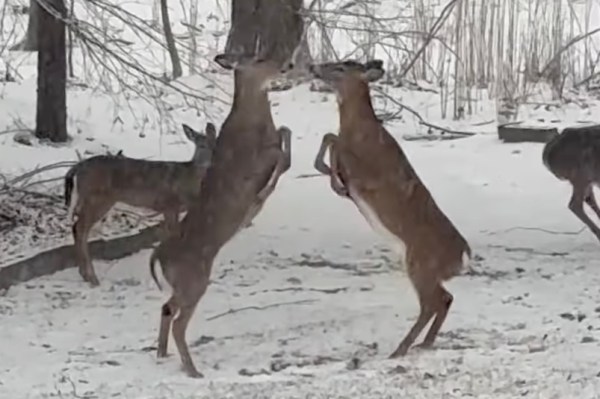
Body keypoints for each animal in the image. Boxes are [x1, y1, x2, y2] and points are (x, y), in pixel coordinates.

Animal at [65, 122, 218, 288]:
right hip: (98, 199)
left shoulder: (168, 209)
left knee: (77, 227)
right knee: (80, 228)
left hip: (86, 199)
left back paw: (85, 276)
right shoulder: (170, 204)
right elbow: (175, 234)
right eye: (202, 145)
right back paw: (92, 277)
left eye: (216, 143)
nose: (213, 160)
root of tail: (77, 168)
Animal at [148, 52, 292, 378]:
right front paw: (261, 196)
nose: (287, 65)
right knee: (178, 321)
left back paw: (163, 354)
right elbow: (283, 157)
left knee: (166, 308)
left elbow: (285, 133)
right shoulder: (254, 162)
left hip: (184, 282)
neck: (254, 121)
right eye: (260, 58)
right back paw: (192, 370)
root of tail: (159, 255)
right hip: (194, 279)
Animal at [310, 59, 474, 360]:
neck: (361, 131)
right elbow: (332, 138)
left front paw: (335, 180)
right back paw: (423, 343)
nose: (313, 66)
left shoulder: (370, 176)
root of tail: (463, 256)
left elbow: (333, 139)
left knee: (434, 302)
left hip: (420, 263)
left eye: (341, 67)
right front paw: (331, 174)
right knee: (445, 299)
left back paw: (401, 349)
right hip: (422, 267)